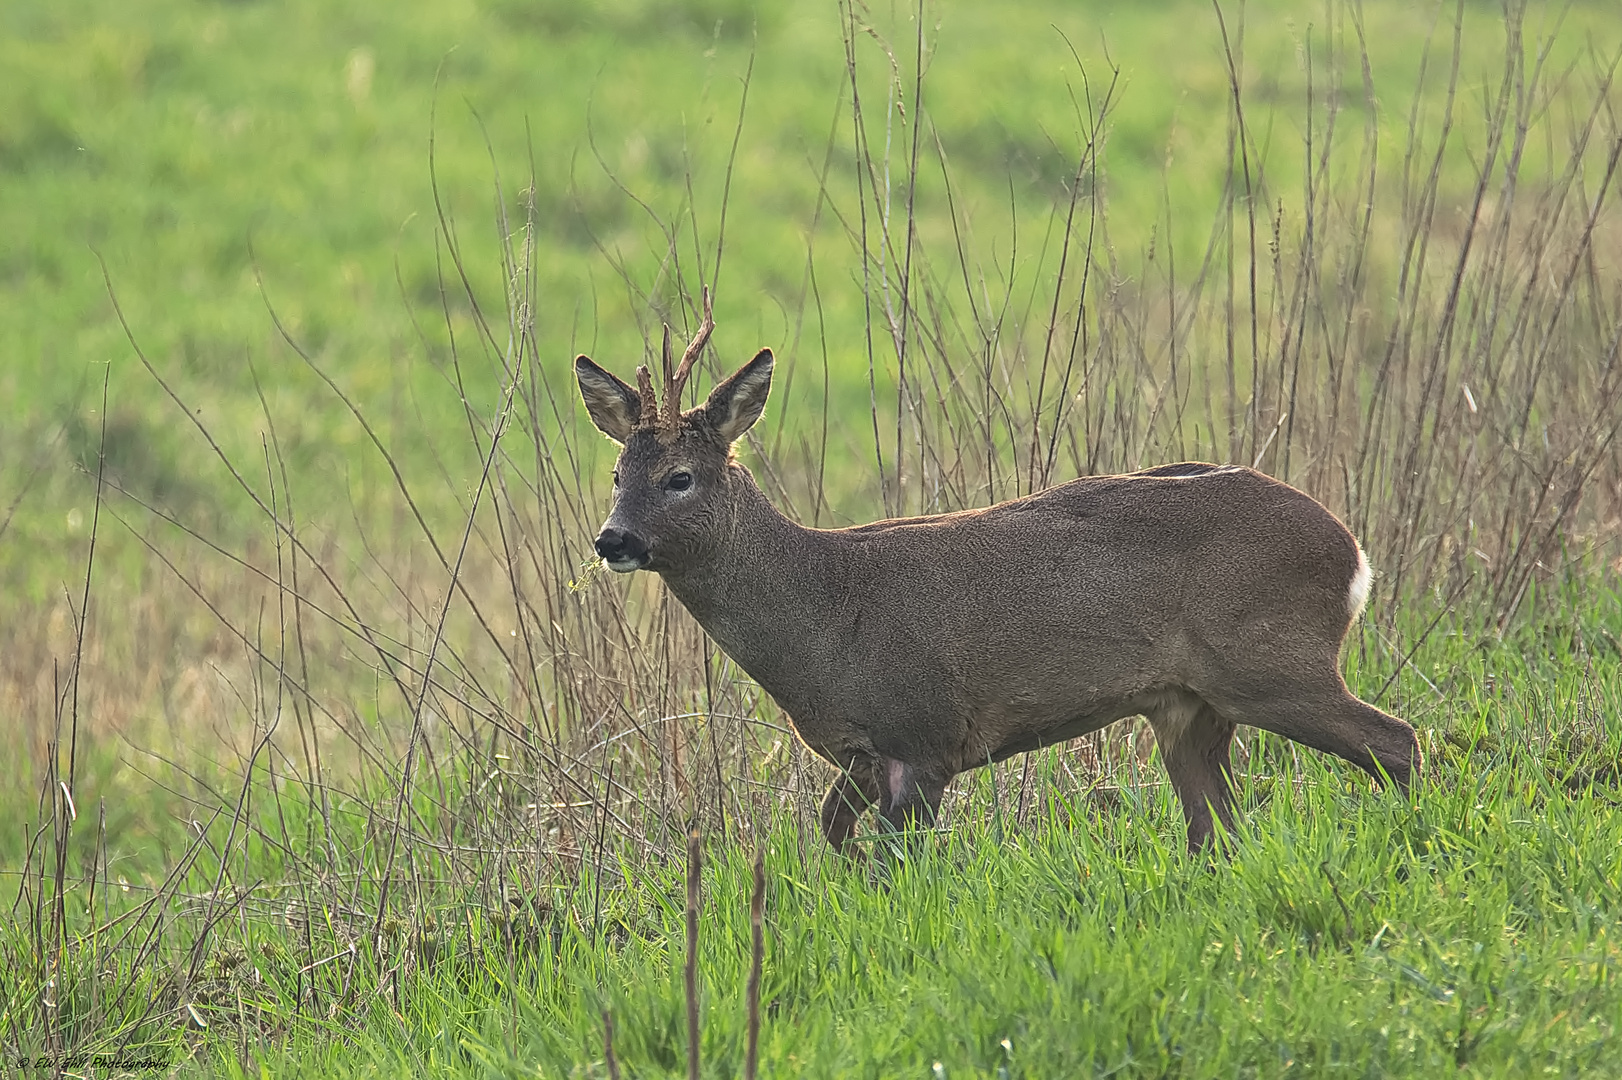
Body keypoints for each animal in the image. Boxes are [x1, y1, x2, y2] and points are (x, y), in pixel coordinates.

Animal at [574, 311, 1420, 849]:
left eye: (680, 478)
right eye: (617, 474)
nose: (613, 539)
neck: (822, 614)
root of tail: (1352, 553)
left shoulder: (924, 731)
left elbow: (894, 867)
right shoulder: (861, 754)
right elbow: (834, 835)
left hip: (1269, 657)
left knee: (1398, 741)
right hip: (1189, 707)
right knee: (1219, 831)